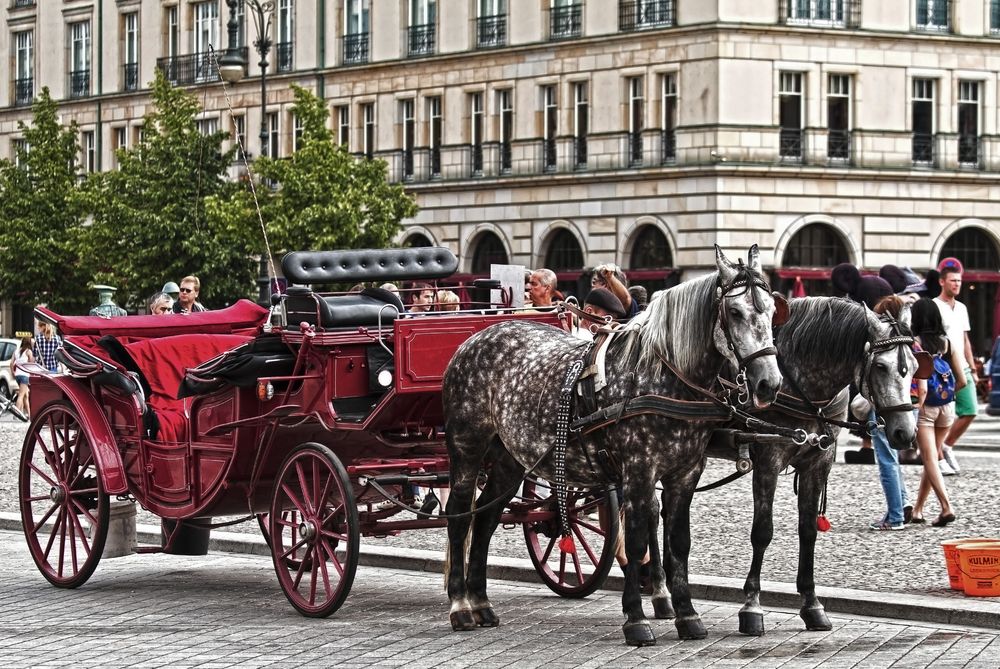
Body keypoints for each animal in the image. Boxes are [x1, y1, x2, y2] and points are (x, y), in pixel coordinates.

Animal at [444, 247, 780, 648]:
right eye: (735, 312)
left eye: (772, 310)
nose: (770, 384)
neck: (662, 376)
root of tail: (478, 336)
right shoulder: (638, 470)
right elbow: (634, 542)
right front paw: (636, 618)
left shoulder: (686, 473)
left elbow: (679, 542)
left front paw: (687, 615)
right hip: (467, 446)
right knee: (459, 516)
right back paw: (461, 605)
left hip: (511, 457)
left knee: (486, 518)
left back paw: (481, 603)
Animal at [668, 298, 924, 636]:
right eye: (881, 367)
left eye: (915, 367)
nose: (905, 433)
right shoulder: (768, 461)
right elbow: (762, 532)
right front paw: (752, 606)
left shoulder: (818, 463)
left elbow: (808, 531)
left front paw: (812, 604)